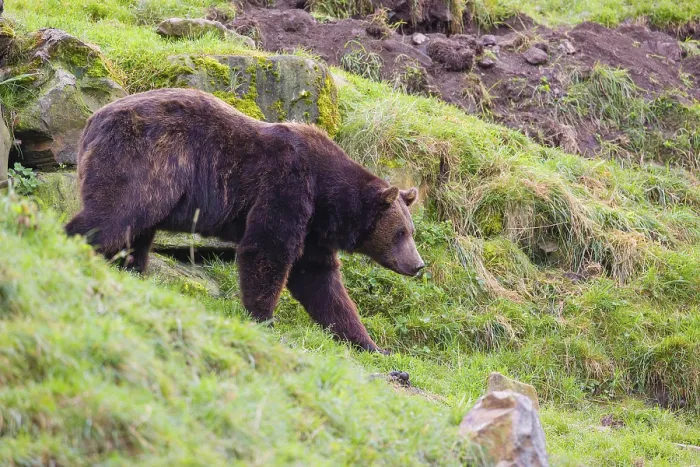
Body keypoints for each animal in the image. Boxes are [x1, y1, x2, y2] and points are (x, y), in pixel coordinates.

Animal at [65, 88, 424, 352]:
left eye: (411, 231)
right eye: (401, 232)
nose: (418, 265)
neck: (327, 198)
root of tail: (91, 120)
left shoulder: (313, 230)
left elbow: (320, 281)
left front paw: (368, 343)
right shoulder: (287, 186)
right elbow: (267, 249)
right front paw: (264, 316)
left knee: (135, 232)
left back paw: (130, 270)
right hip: (145, 159)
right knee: (115, 214)